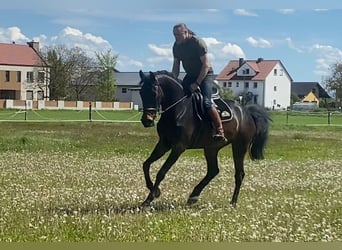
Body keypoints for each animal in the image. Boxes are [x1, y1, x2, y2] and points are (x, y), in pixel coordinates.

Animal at [138, 70, 272, 207]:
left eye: (154, 93)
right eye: (141, 93)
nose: (147, 120)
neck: (179, 109)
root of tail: (247, 112)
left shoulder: (178, 147)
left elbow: (161, 172)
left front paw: (148, 199)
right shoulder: (164, 143)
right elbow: (146, 164)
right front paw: (154, 191)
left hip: (239, 146)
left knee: (239, 174)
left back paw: (233, 202)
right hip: (211, 148)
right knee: (213, 171)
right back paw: (193, 196)